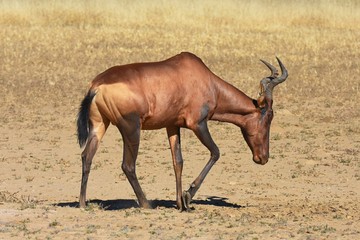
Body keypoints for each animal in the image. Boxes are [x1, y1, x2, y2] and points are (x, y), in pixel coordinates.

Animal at [77, 51, 288, 211]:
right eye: (269, 116)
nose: (263, 158)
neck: (206, 80)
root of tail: (97, 87)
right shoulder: (198, 124)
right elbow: (215, 152)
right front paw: (188, 196)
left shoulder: (172, 126)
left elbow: (178, 162)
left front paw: (180, 204)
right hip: (131, 128)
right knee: (127, 165)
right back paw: (146, 204)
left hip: (99, 125)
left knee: (87, 156)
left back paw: (82, 203)